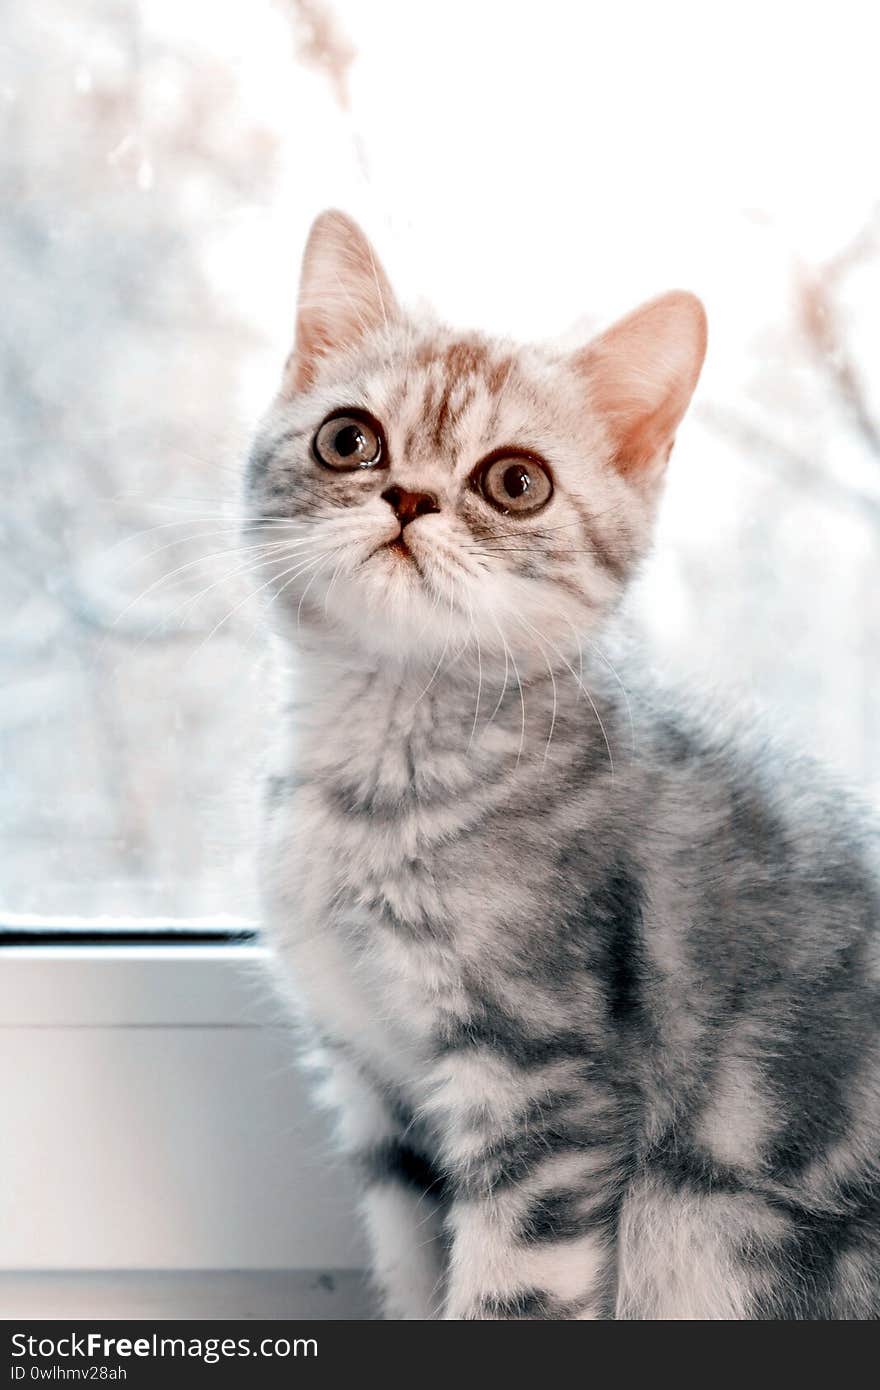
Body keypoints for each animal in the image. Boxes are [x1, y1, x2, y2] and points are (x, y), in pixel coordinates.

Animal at [243, 211, 878, 1317]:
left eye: (515, 482)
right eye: (347, 438)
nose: (407, 497)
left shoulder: (543, 1087)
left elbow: (509, 1289)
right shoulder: (383, 1099)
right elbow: (415, 1272)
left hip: (695, 1221)